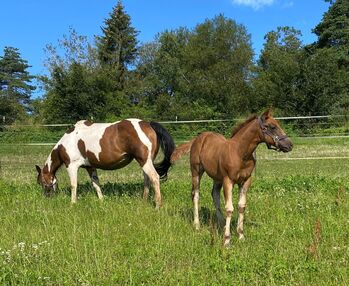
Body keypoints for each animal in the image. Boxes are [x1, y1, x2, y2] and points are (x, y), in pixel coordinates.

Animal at [35, 118, 174, 208]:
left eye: (41, 182)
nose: (47, 198)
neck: (66, 143)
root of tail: (148, 124)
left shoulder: (72, 166)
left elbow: (73, 185)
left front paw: (72, 203)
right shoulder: (90, 167)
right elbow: (96, 184)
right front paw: (101, 201)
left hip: (145, 161)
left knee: (154, 178)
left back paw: (157, 205)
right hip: (145, 162)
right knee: (147, 179)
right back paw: (144, 201)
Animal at [170, 110, 292, 246]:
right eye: (272, 127)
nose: (289, 145)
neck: (240, 153)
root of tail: (198, 138)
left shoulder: (245, 181)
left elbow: (241, 206)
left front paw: (241, 235)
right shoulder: (228, 180)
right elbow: (229, 208)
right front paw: (227, 240)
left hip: (217, 178)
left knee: (215, 195)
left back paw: (222, 224)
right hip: (196, 171)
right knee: (195, 195)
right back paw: (197, 225)